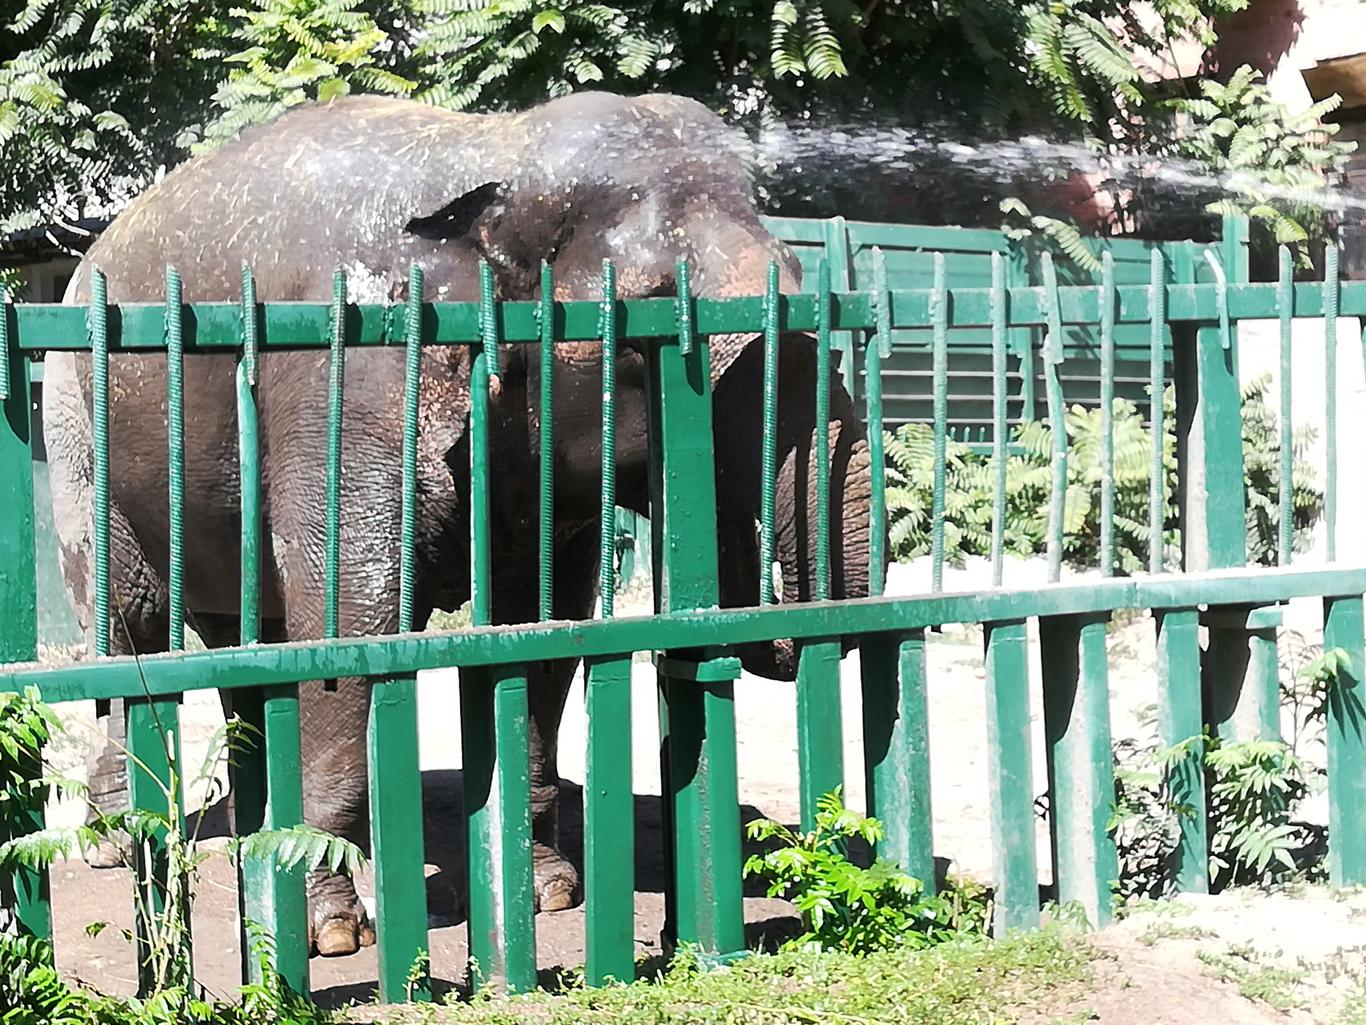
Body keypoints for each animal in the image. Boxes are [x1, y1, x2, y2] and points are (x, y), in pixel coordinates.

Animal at [48, 90, 879, 962]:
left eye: (798, 277)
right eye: (650, 313)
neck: (495, 153)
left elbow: (544, 627)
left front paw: (549, 890)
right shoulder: (347, 374)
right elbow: (352, 615)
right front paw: (334, 933)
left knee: (243, 643)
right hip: (74, 425)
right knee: (132, 628)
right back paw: (120, 839)